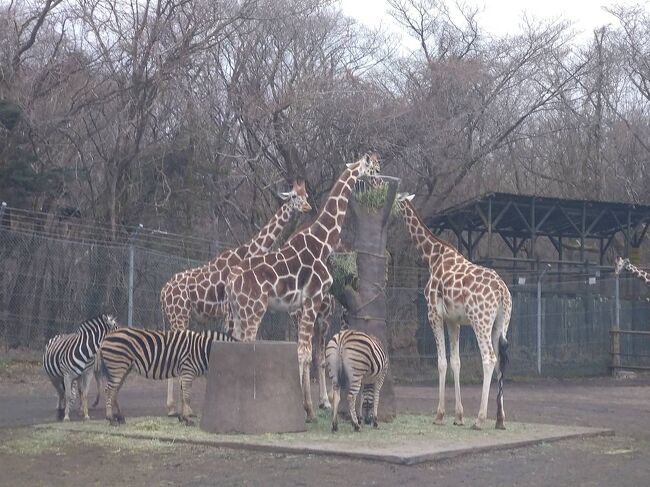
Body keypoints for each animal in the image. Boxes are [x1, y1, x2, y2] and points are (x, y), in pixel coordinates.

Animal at [95, 328, 237, 428]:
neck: (201, 350)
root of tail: (106, 337)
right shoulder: (187, 371)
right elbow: (187, 397)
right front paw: (188, 419)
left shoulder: (184, 373)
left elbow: (183, 395)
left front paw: (182, 417)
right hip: (118, 367)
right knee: (109, 390)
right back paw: (110, 419)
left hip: (124, 368)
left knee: (115, 391)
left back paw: (120, 417)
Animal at [157, 180, 308, 416]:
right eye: (293, 196)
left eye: (306, 194)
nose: (308, 207)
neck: (248, 252)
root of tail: (163, 292)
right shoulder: (229, 311)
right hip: (179, 316)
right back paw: (178, 409)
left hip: (173, 318)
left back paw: (174, 407)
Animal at [225, 154, 380, 422]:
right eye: (373, 167)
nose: (380, 178)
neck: (323, 240)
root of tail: (232, 281)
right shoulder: (312, 300)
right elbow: (304, 353)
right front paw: (306, 409)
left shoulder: (304, 306)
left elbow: (306, 354)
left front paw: (310, 406)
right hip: (253, 311)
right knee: (248, 345)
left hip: (239, 313)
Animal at [394, 194, 512, 430]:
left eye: (395, 198)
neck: (432, 256)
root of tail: (502, 292)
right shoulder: (453, 320)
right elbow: (456, 361)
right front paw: (458, 416)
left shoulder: (434, 314)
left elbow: (441, 362)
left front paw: (440, 415)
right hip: (501, 324)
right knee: (501, 363)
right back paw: (500, 419)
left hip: (480, 321)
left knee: (489, 358)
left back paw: (480, 419)